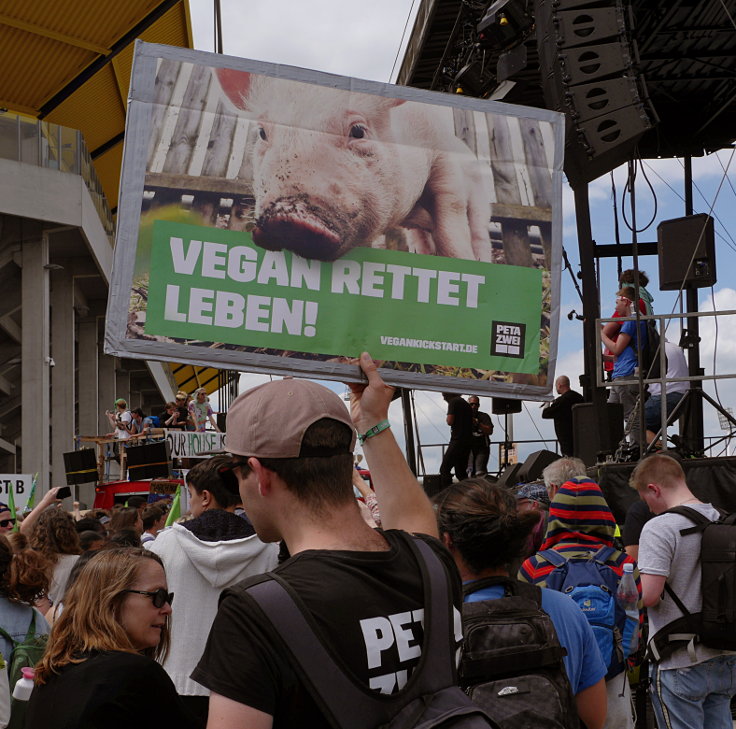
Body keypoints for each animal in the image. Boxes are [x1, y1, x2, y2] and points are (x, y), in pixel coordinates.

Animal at [216, 68, 492, 262]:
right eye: (262, 133)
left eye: (358, 130)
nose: (288, 217)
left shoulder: (440, 153)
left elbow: (450, 215)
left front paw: (462, 262)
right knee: (421, 236)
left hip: (481, 199)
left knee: (479, 231)